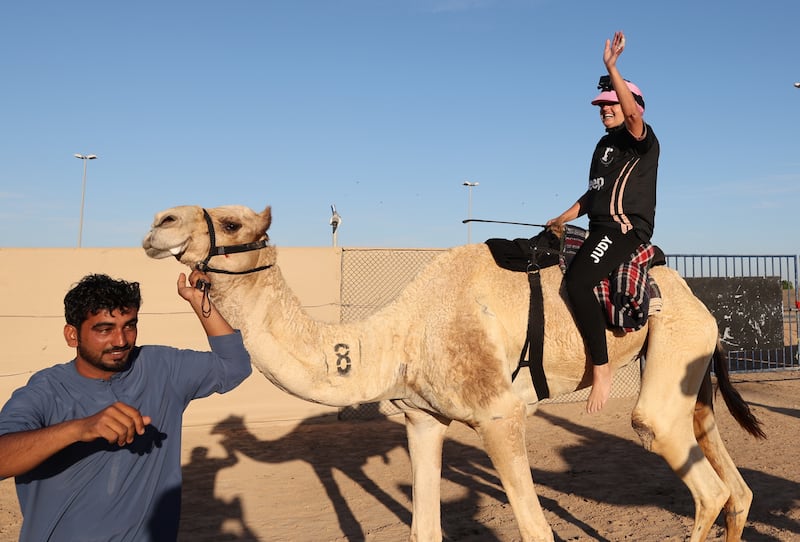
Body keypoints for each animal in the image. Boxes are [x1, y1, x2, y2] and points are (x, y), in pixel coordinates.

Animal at [142, 205, 764, 542]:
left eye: (229, 221)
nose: (158, 223)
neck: (399, 338)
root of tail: (699, 301)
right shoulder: (422, 420)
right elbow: (423, 528)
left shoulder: (499, 414)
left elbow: (536, 528)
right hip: (689, 363)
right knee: (732, 482)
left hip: (674, 344)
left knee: (690, 469)